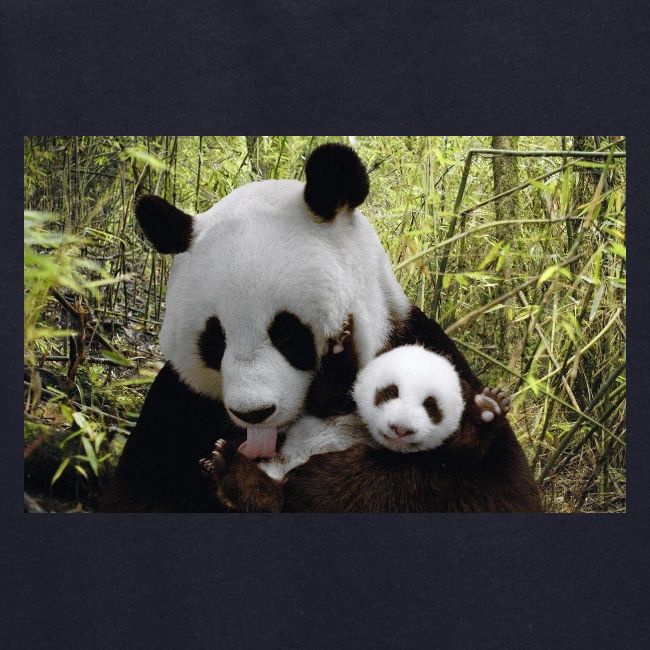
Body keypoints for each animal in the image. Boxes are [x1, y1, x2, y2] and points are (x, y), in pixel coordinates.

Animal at [99, 143, 541, 513]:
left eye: (287, 333)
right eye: (214, 340)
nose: (254, 413)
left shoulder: (420, 346)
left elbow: (488, 488)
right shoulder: (178, 405)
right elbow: (140, 494)